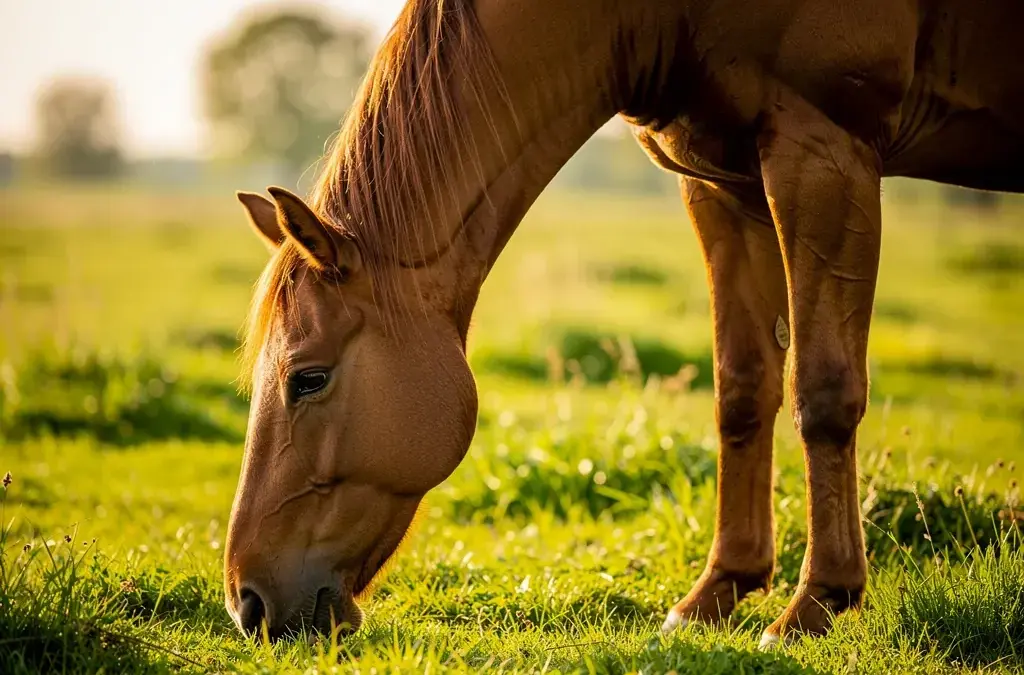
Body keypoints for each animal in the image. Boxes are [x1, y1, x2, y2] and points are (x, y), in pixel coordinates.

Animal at [223, 0, 1024, 646]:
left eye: (308, 378)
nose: (247, 603)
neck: (655, 13)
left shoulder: (824, 152)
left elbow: (823, 392)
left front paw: (816, 604)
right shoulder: (722, 185)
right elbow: (742, 389)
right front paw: (719, 591)